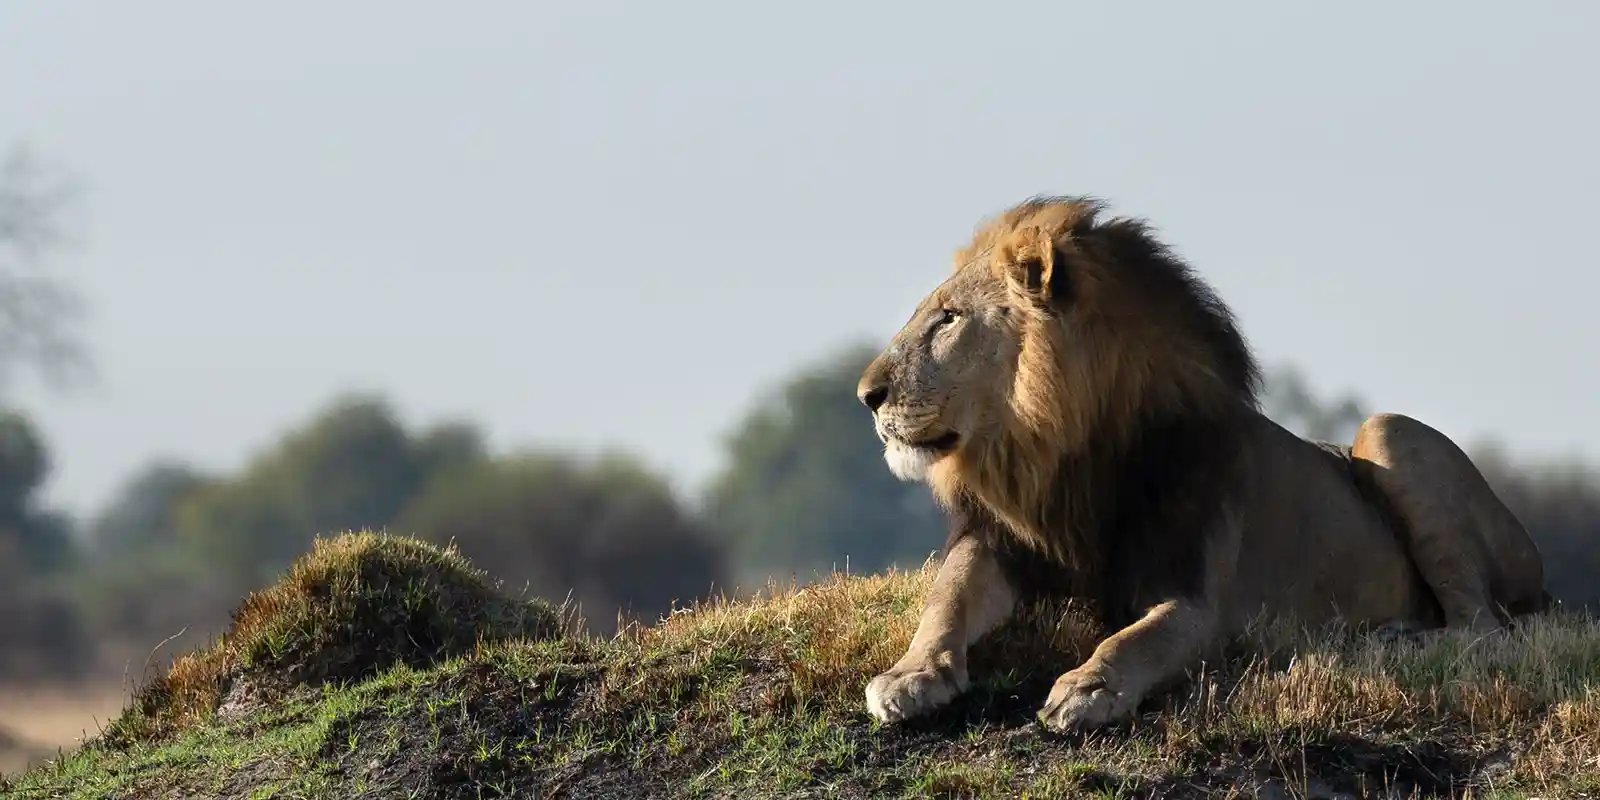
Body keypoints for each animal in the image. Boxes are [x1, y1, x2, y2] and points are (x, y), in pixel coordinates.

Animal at [855, 195, 1549, 731]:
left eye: (949, 319)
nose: (867, 395)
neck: (1064, 457)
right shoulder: (999, 542)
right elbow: (945, 600)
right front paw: (909, 676)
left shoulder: (1196, 597)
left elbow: (1137, 638)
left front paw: (1088, 688)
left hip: (1387, 431)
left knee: (1485, 627)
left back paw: (1396, 639)